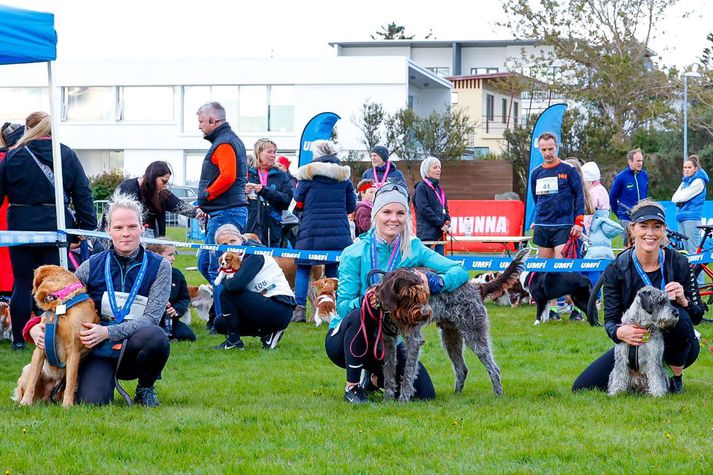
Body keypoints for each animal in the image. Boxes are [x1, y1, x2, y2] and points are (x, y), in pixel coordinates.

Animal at [13, 266, 98, 408]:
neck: (60, 304)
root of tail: (47, 398)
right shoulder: (40, 347)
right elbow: (32, 381)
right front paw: (25, 403)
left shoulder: (73, 350)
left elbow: (70, 383)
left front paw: (67, 406)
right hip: (27, 369)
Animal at [378, 249, 528, 402]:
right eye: (408, 293)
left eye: (425, 292)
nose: (425, 313)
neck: (398, 311)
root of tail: (476, 287)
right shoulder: (388, 340)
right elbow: (388, 371)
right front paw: (388, 399)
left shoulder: (413, 340)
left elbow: (408, 373)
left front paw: (403, 399)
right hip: (450, 338)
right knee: (462, 369)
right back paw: (456, 396)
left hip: (474, 336)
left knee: (493, 369)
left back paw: (498, 394)